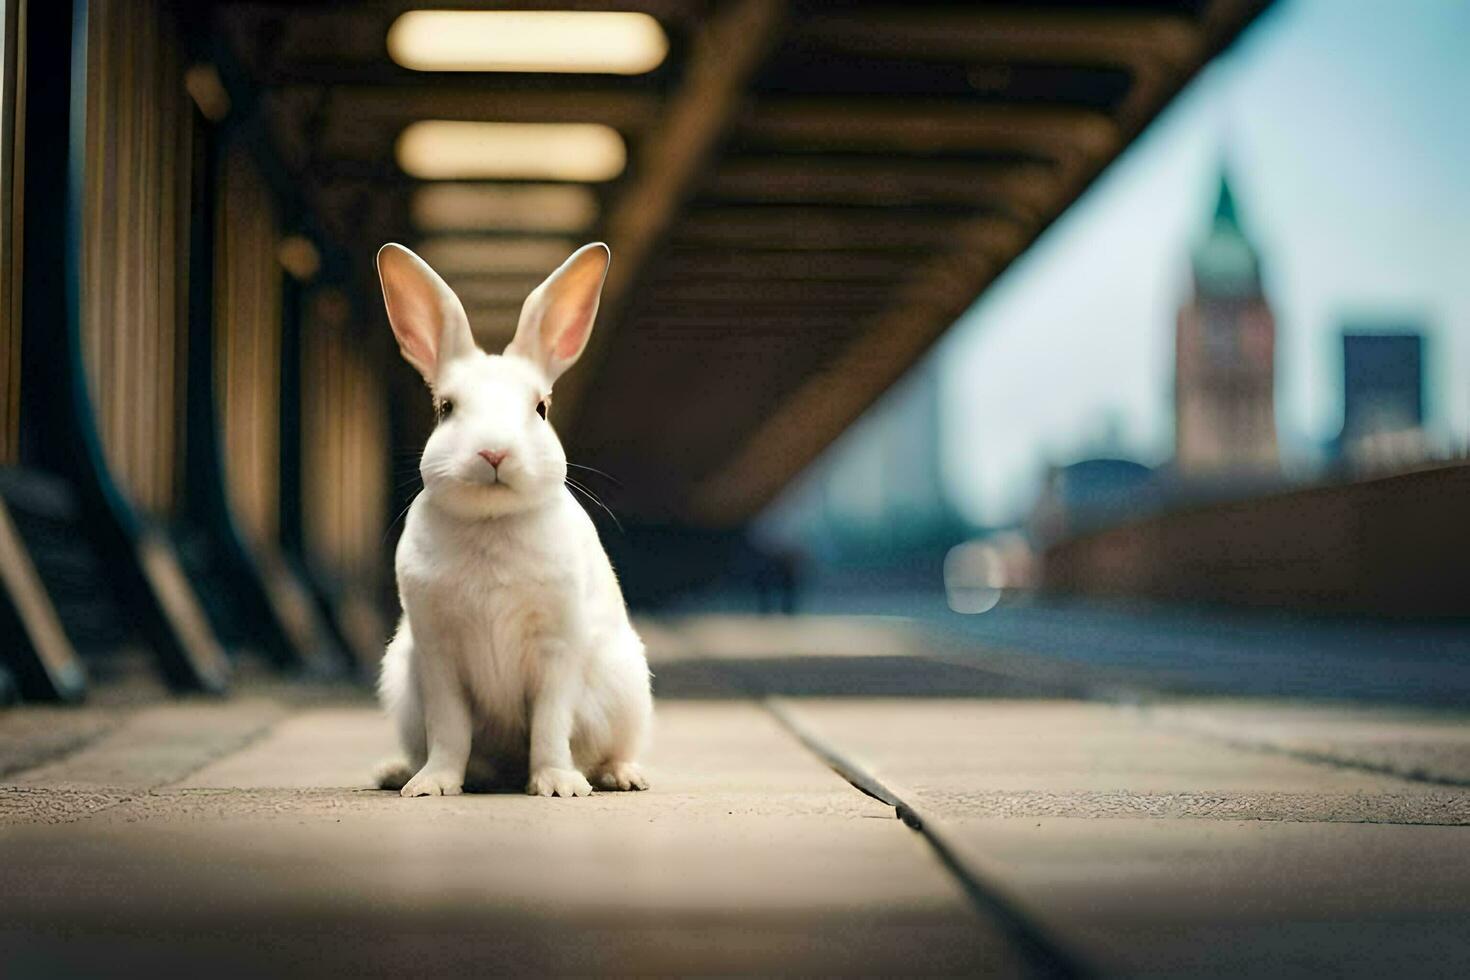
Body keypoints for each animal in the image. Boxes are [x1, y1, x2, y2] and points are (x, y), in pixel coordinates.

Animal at [373, 240, 655, 799]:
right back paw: (402, 774)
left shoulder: (556, 649)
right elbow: (449, 730)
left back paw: (623, 776)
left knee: (610, 750)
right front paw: (432, 785)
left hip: (627, 685)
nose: (494, 452)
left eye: (541, 408)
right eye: (445, 408)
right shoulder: (438, 654)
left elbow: (549, 726)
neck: (492, 522)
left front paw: (558, 786)